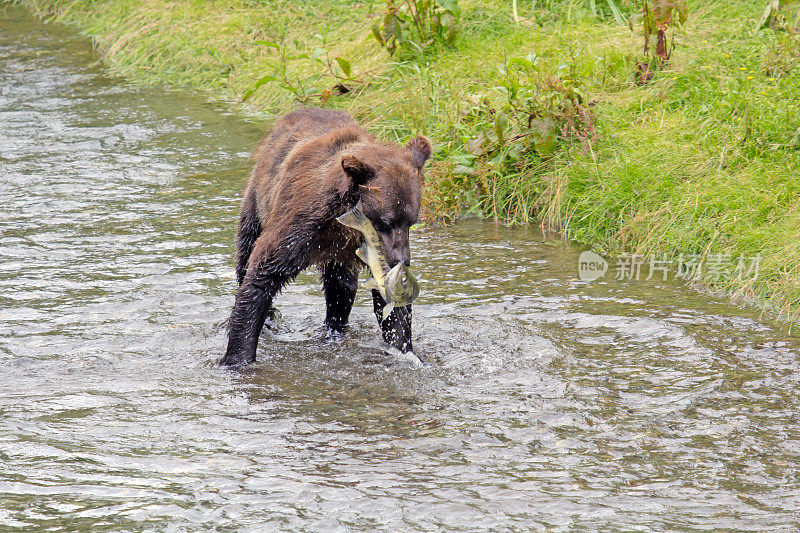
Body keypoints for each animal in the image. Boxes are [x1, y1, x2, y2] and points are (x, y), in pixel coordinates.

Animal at [219, 108, 432, 366]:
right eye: (386, 221)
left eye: (411, 221)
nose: (401, 259)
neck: (342, 222)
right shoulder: (300, 225)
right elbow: (264, 272)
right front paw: (237, 357)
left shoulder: (364, 248)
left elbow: (389, 301)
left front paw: (405, 349)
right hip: (257, 201)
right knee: (246, 251)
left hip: (339, 255)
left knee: (340, 287)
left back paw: (334, 329)